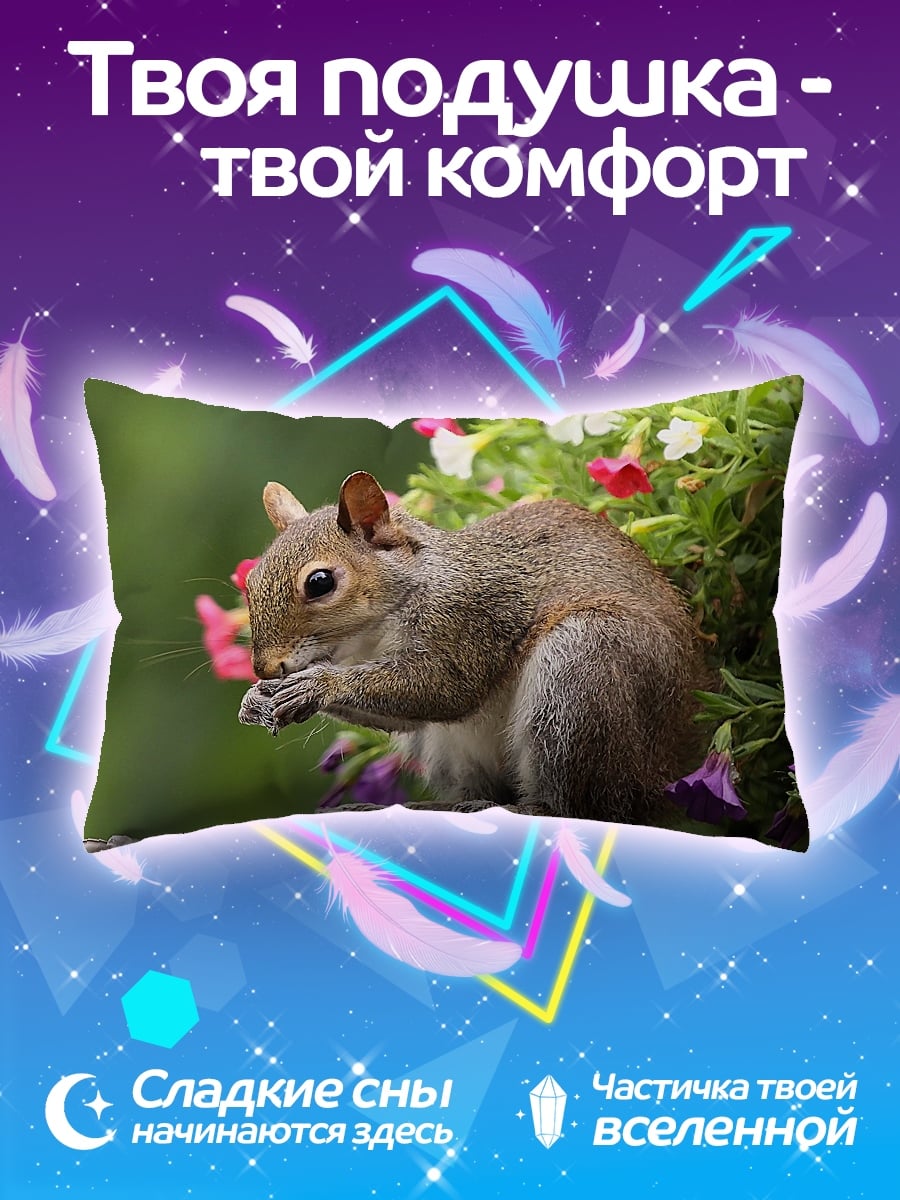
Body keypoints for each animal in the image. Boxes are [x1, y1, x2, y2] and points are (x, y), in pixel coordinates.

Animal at [238, 471, 705, 823]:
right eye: (251, 580)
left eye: (320, 582)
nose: (265, 668)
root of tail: (660, 772)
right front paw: (255, 700)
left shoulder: (469, 618)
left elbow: (445, 690)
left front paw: (316, 686)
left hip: (583, 668)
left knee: (581, 808)